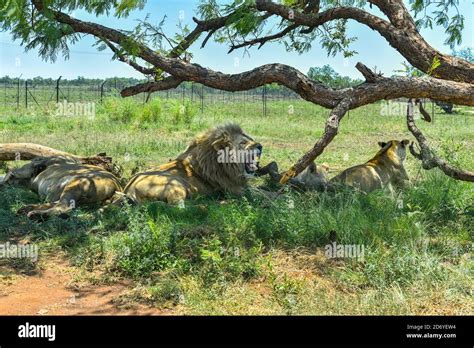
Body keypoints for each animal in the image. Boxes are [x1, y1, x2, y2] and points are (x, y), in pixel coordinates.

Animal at [124, 123, 262, 203]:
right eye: (243, 143)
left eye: (251, 139)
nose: (260, 146)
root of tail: (128, 189)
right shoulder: (234, 189)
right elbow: (261, 194)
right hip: (175, 184)